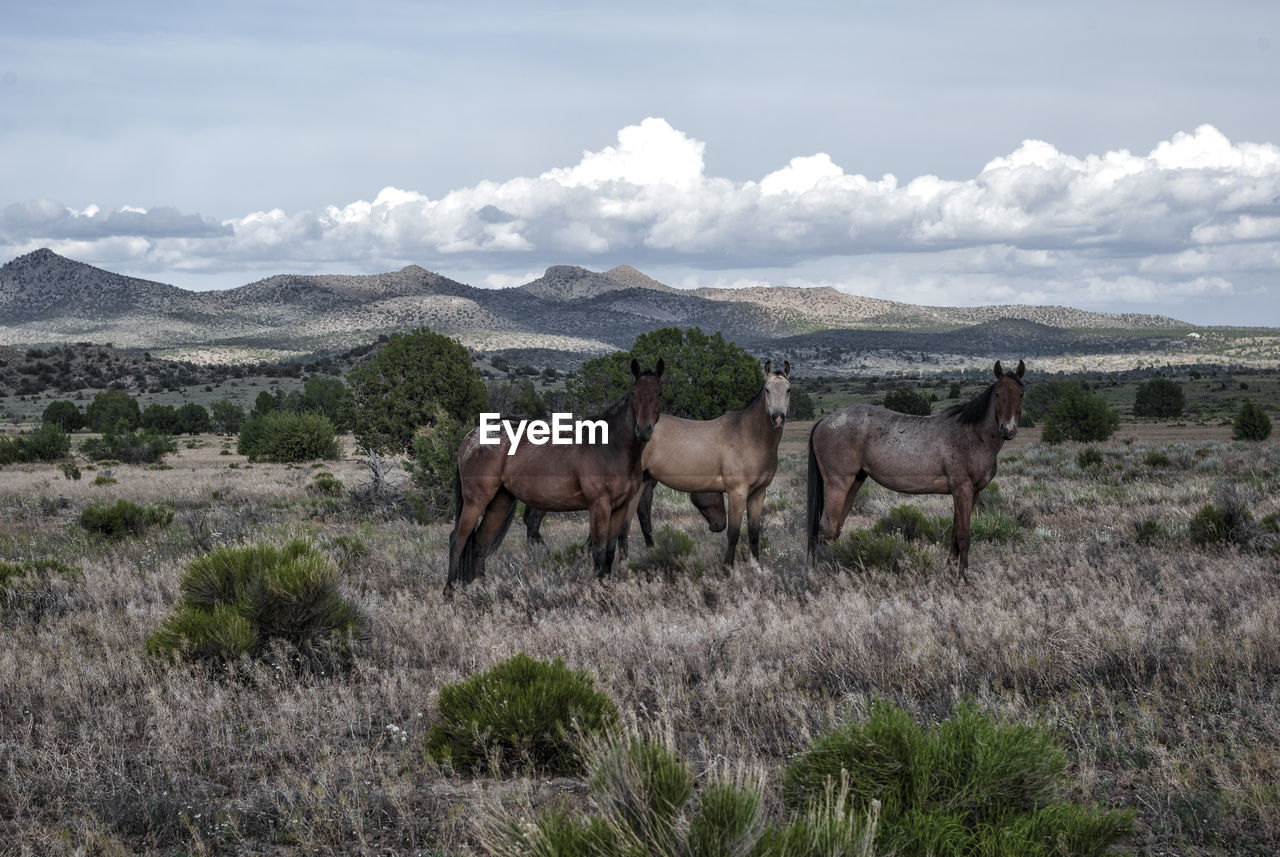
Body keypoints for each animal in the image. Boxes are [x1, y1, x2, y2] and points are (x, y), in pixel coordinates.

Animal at [448, 355, 665, 590]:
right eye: (634, 393)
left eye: (659, 393)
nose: (643, 430)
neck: (609, 446)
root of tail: (470, 436)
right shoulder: (599, 505)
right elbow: (598, 552)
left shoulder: (620, 507)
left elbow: (609, 553)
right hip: (477, 500)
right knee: (458, 539)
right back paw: (449, 591)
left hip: (500, 500)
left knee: (480, 542)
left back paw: (481, 589)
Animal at [629, 363, 788, 570]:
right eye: (767, 389)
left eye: (788, 389)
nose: (778, 418)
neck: (750, 436)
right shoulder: (737, 492)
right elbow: (734, 533)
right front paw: (727, 568)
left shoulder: (758, 492)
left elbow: (754, 532)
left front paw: (756, 568)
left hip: (647, 480)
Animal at [808, 358, 1029, 573]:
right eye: (998, 393)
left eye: (1021, 393)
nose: (1008, 428)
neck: (973, 435)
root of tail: (824, 421)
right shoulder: (962, 489)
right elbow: (964, 537)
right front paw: (963, 578)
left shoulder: (973, 493)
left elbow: (955, 534)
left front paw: (950, 573)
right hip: (839, 484)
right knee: (827, 528)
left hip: (855, 481)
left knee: (836, 527)